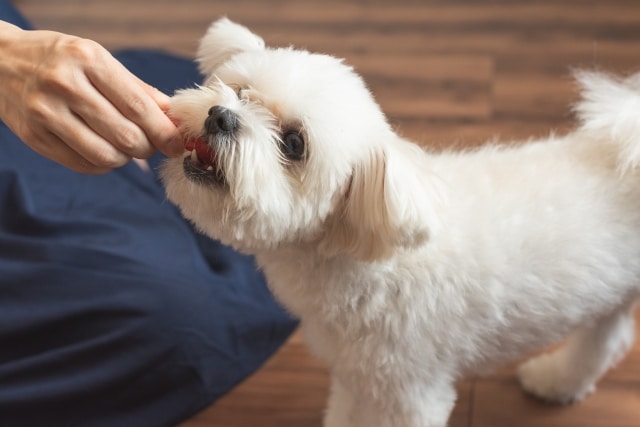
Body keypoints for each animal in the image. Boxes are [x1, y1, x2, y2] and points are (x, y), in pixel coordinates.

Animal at [162, 17, 640, 427]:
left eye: (294, 144)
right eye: (240, 91)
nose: (221, 116)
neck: (363, 260)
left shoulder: (409, 391)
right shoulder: (357, 376)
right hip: (611, 295)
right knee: (607, 341)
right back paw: (555, 381)